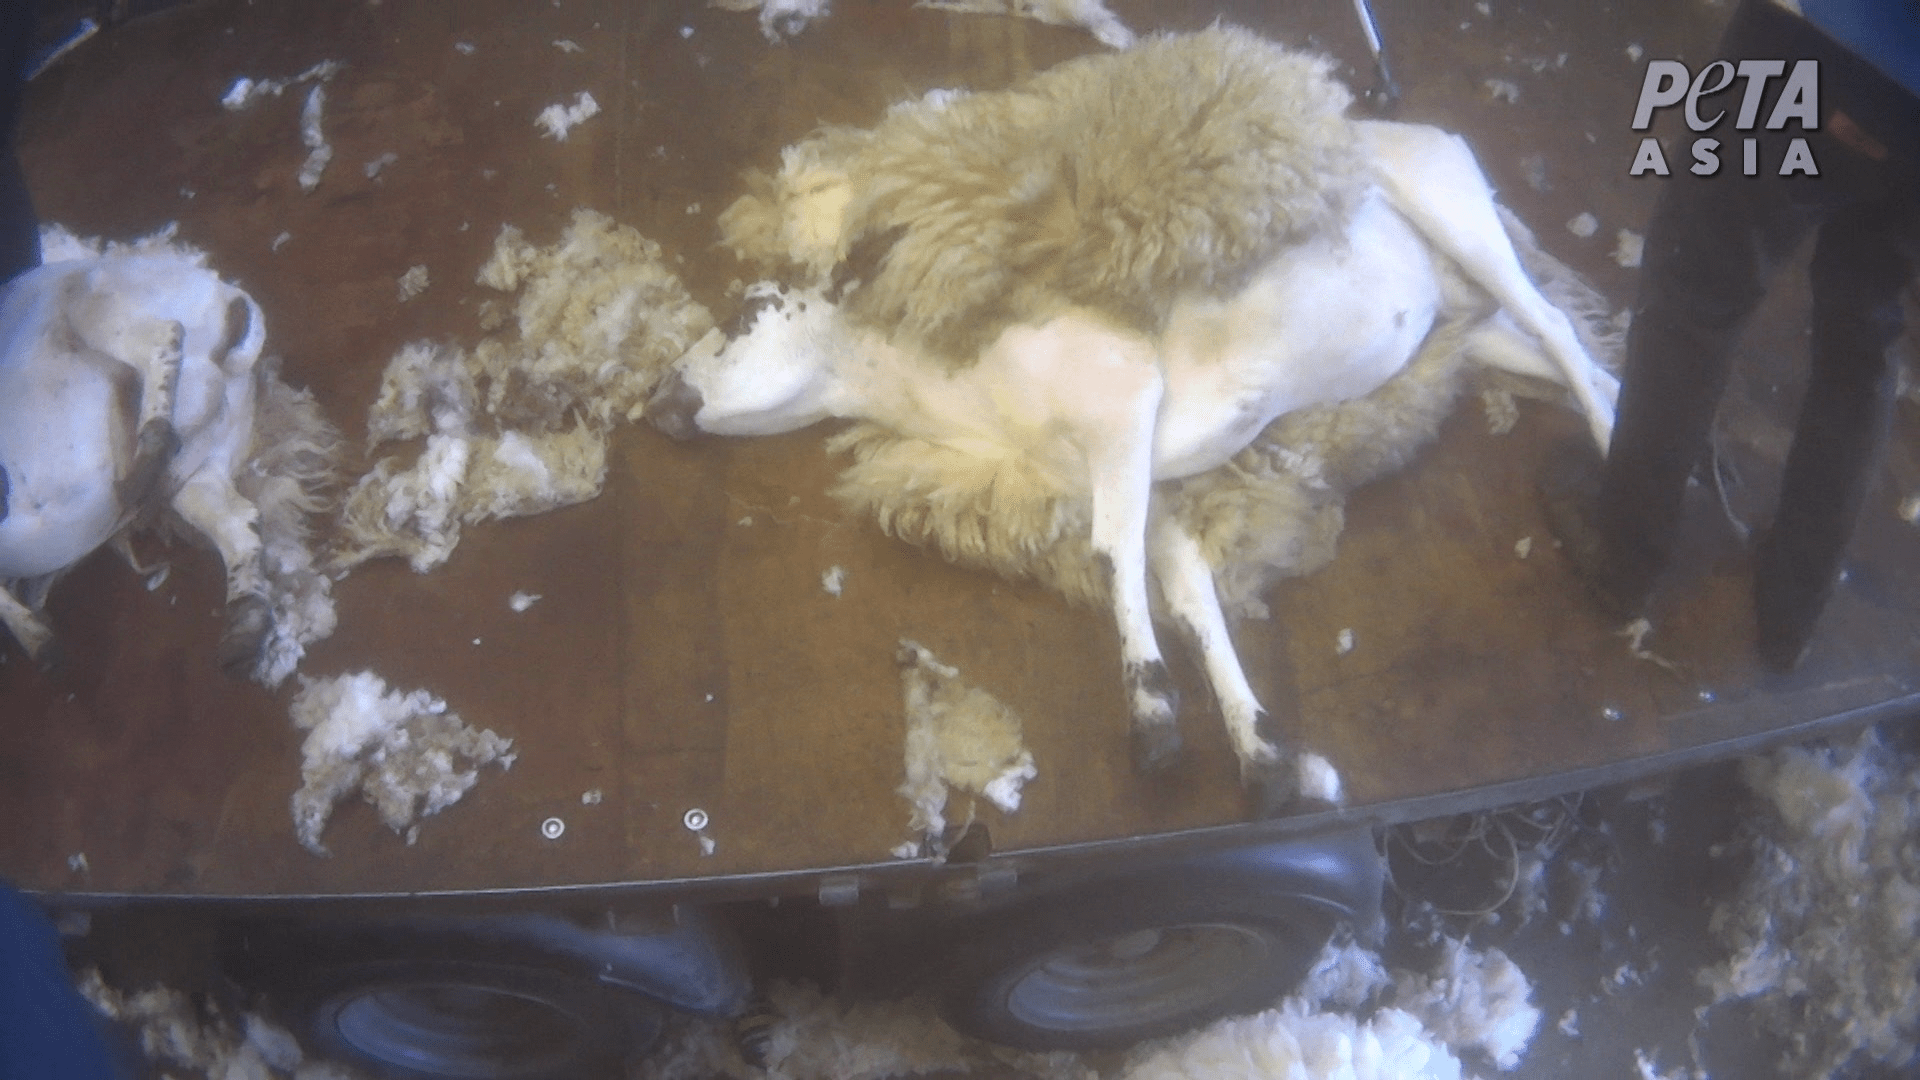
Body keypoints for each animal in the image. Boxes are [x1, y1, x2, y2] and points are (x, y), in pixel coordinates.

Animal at [647, 28, 1619, 812]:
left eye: (745, 313)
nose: (659, 403)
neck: (966, 393)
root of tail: (1411, 130)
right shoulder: (1148, 479)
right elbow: (1185, 590)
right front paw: (1263, 758)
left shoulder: (1126, 404)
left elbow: (1117, 552)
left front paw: (1153, 723)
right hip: (1470, 328)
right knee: (1580, 360)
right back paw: (1613, 429)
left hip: (1457, 215)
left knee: (1559, 324)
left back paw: (1614, 462)